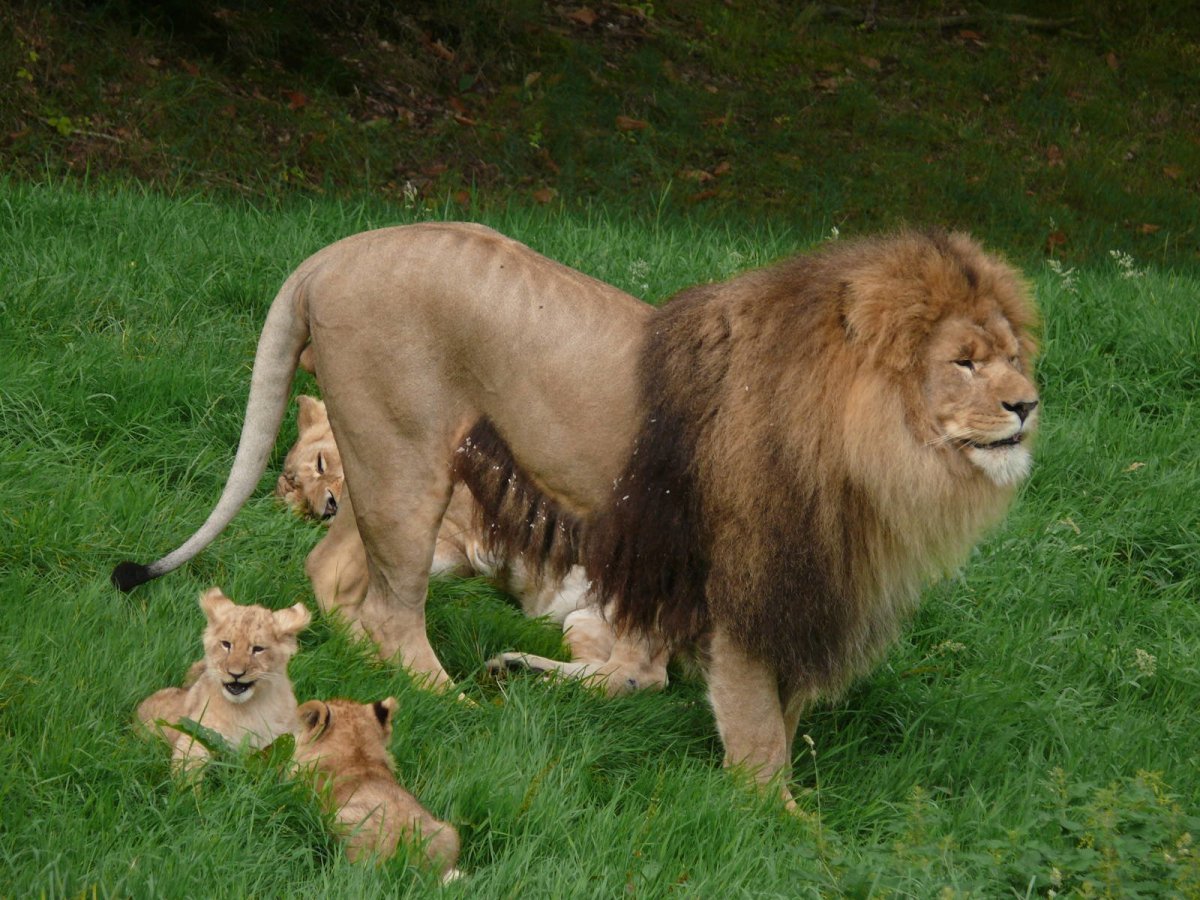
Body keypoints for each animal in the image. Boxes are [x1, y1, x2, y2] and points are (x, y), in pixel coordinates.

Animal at [137, 586, 311, 769]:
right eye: (226, 644)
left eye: (257, 649)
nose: (235, 674)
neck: (247, 709)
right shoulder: (197, 735)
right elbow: (188, 768)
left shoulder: (285, 741)